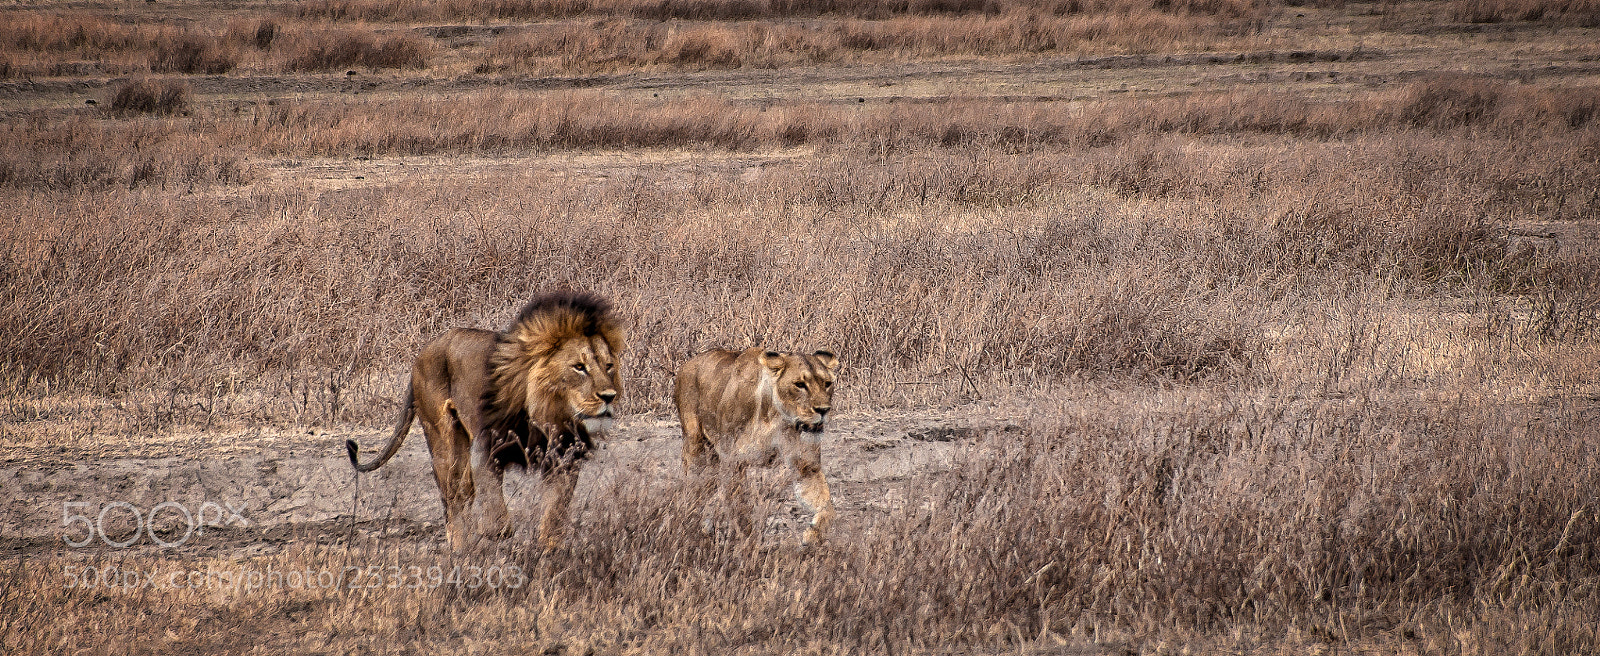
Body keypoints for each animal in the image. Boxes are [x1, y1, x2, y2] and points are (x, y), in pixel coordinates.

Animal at [346, 292, 625, 552]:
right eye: (579, 367)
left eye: (609, 366)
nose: (609, 396)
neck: (548, 414)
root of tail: (423, 352)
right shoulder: (487, 445)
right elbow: (491, 497)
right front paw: (497, 530)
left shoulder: (564, 460)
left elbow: (556, 510)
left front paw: (549, 548)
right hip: (443, 438)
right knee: (453, 495)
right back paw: (460, 549)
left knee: (463, 492)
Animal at [675, 347, 839, 546]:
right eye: (799, 384)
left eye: (827, 383)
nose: (823, 410)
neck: (777, 415)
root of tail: (689, 362)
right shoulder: (734, 462)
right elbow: (740, 509)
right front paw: (748, 544)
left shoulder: (806, 464)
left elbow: (826, 505)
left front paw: (813, 535)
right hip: (695, 444)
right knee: (692, 486)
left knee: (707, 486)